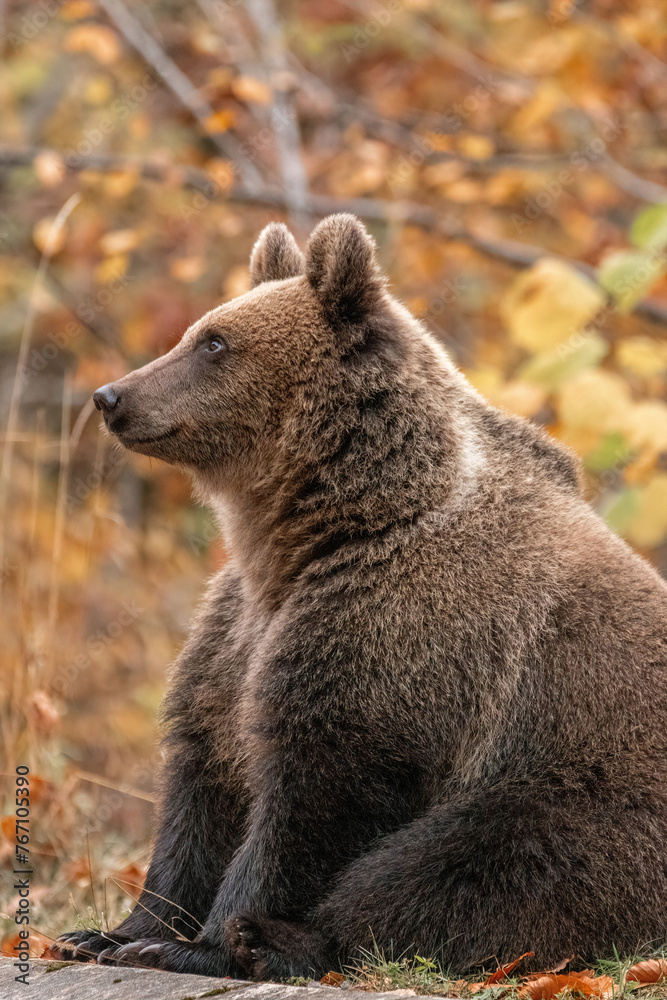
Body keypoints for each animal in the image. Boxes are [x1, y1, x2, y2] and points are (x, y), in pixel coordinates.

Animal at [53, 214, 667, 980]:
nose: (111, 396)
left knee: (473, 860)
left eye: (214, 342)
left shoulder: (400, 625)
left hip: (594, 790)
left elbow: (321, 789)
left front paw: (203, 942)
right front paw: (110, 932)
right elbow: (204, 777)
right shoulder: (237, 630)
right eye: (199, 330)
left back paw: (285, 940)